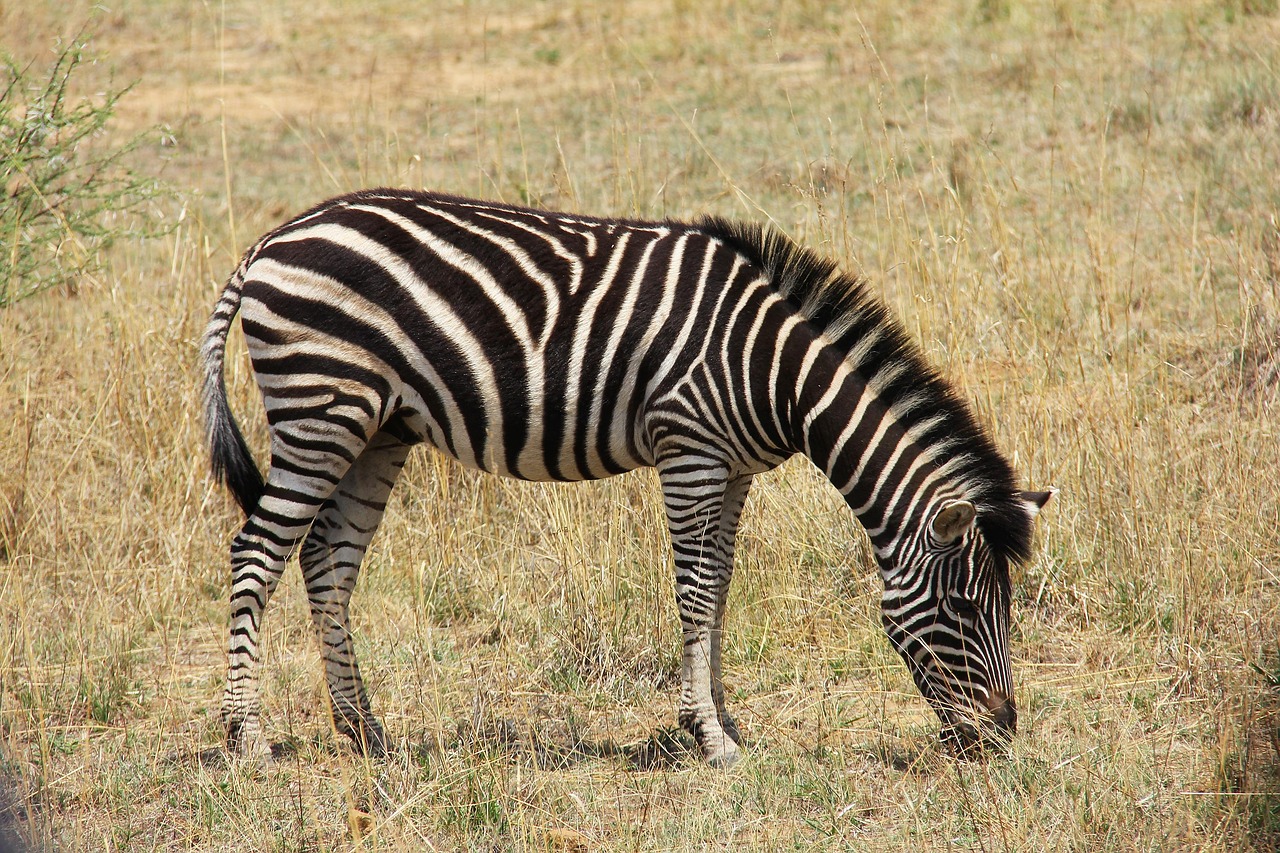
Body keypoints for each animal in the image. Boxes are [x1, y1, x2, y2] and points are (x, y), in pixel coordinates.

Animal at [201, 189, 1053, 767]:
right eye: (963, 607)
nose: (1001, 735)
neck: (775, 372)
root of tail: (272, 239)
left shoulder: (735, 468)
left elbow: (721, 584)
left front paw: (722, 718)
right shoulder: (690, 451)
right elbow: (695, 591)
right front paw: (708, 736)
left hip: (378, 429)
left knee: (327, 562)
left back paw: (365, 730)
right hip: (322, 410)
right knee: (256, 554)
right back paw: (248, 737)